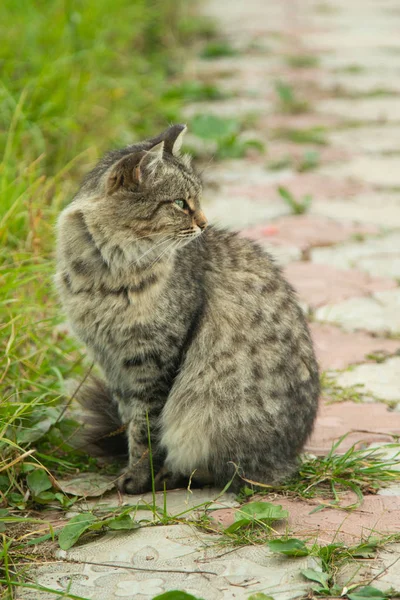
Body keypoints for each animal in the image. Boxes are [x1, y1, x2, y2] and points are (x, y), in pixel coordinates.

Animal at [55, 124, 318, 494]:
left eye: (198, 199)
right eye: (180, 203)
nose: (204, 224)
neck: (104, 272)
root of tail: (290, 459)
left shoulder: (154, 360)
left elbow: (146, 430)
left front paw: (138, 479)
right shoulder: (111, 361)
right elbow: (129, 418)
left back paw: (174, 476)